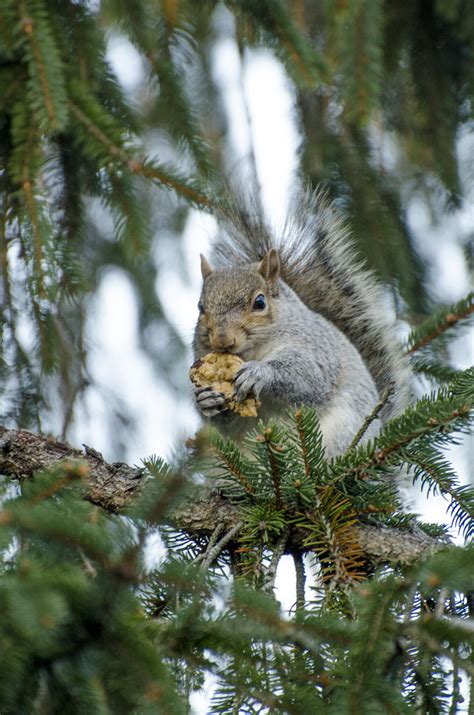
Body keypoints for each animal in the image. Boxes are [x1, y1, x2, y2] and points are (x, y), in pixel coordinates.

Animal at [193, 190, 412, 458]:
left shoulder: (313, 346)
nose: (222, 340)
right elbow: (228, 422)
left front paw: (260, 372)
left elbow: (308, 376)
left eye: (259, 302)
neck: (253, 351)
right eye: (200, 307)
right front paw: (205, 399)